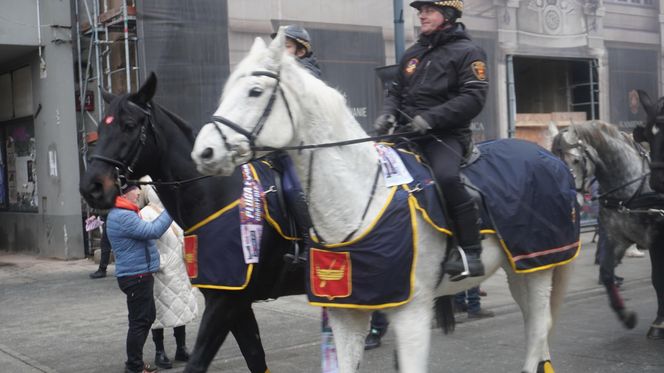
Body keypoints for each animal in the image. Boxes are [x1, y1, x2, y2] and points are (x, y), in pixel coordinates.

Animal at [79, 72, 304, 370]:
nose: (91, 187)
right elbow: (255, 358)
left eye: (128, 125)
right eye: (101, 131)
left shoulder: (225, 300)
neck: (216, 195)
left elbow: (197, 362)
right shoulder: (233, 298)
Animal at [191, 29, 572, 372]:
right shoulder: (347, 312)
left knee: (538, 329)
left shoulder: (412, 313)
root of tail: (548, 158)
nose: (204, 152)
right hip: (520, 268)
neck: (360, 199)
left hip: (539, 264)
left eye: (255, 91)